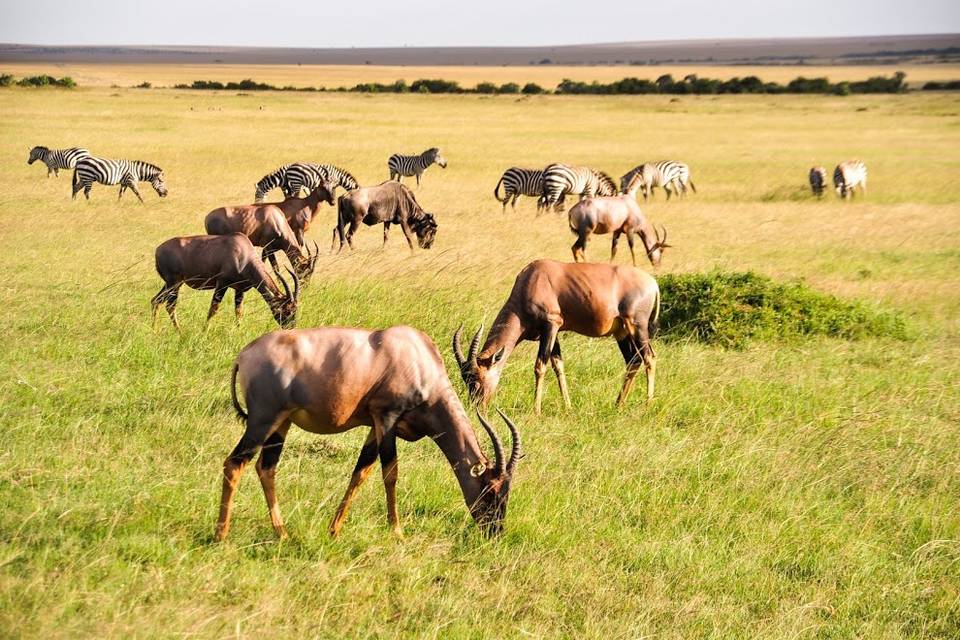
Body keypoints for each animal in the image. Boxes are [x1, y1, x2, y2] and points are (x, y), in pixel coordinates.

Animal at [215, 324, 520, 540]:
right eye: (491, 489)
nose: (494, 533)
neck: (416, 356)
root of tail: (244, 355)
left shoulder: (374, 426)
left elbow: (360, 473)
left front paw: (334, 529)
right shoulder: (387, 418)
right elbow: (390, 473)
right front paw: (397, 532)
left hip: (281, 424)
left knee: (266, 468)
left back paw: (282, 533)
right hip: (262, 421)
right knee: (235, 463)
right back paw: (222, 536)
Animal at [456, 260, 660, 416]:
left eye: (477, 379)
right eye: (465, 380)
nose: (477, 408)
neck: (533, 279)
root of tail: (653, 283)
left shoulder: (551, 324)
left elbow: (540, 366)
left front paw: (536, 411)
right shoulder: (552, 333)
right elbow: (558, 365)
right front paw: (568, 407)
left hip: (638, 326)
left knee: (649, 357)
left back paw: (647, 405)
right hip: (621, 332)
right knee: (633, 360)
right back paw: (618, 404)